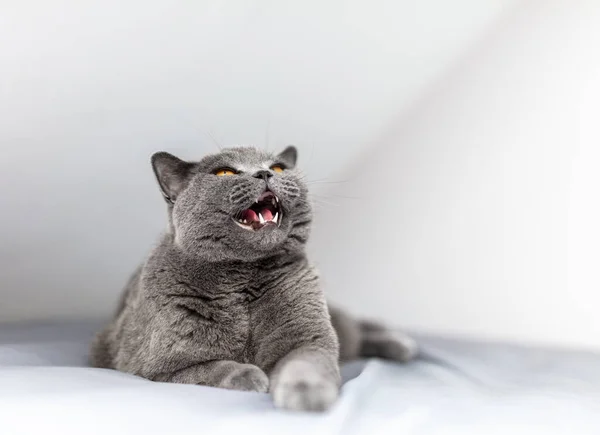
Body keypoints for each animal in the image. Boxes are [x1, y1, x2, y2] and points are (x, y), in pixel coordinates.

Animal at [90, 146, 418, 412]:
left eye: (278, 168)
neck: (244, 280)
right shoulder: (154, 368)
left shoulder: (307, 337)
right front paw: (250, 374)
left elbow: (306, 362)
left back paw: (401, 343)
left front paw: (305, 393)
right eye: (224, 172)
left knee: (357, 329)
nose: (264, 173)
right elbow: (209, 370)